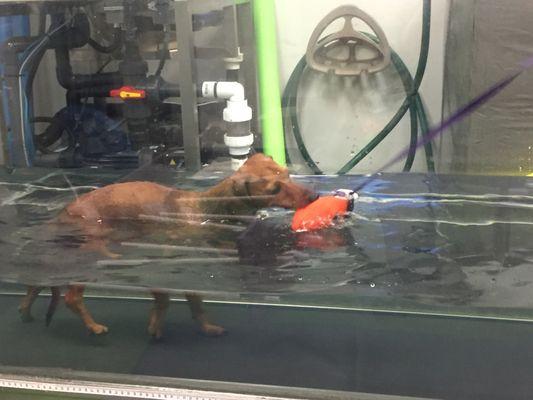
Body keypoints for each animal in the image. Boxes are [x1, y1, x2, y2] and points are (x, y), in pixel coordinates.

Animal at [18, 155, 316, 340]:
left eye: (288, 174)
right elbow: (164, 299)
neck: (206, 209)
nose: (314, 196)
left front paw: (206, 327)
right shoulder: (165, 261)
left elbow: (196, 305)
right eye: (275, 188)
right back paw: (93, 326)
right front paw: (155, 326)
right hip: (92, 258)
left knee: (36, 285)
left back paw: (25, 311)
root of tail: (66, 211)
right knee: (71, 297)